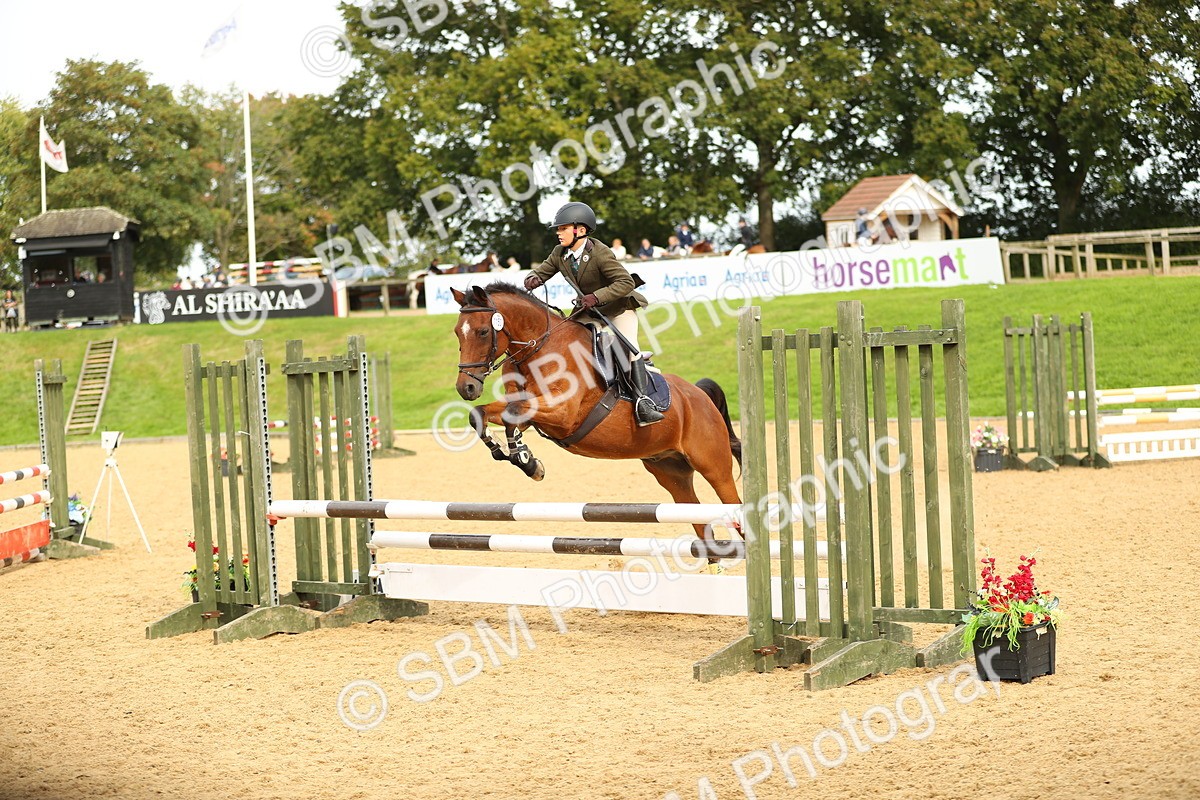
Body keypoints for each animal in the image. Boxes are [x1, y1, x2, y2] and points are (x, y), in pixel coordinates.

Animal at [450, 283, 744, 556]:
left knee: (735, 506)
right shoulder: (534, 414)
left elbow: (512, 414)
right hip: (670, 472)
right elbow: (482, 414)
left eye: (483, 332)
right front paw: (516, 455)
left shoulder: (563, 413)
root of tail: (700, 395)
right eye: (457, 332)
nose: (466, 388)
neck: (539, 350)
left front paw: (526, 460)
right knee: (700, 522)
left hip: (713, 467)